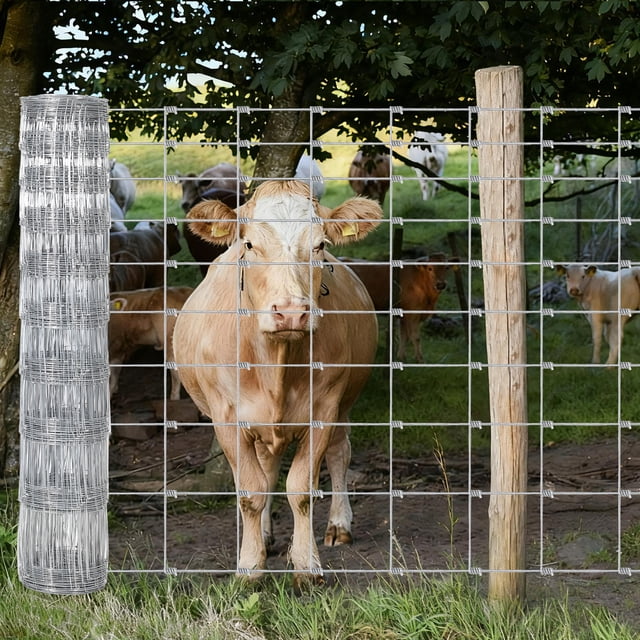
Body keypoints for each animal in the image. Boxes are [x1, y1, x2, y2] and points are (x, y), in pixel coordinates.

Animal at [173, 180, 382, 588]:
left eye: (319, 245)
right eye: (249, 244)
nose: (290, 312)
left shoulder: (325, 408)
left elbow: (301, 489)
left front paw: (306, 564)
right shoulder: (226, 417)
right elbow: (251, 489)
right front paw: (250, 565)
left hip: (346, 402)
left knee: (340, 454)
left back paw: (339, 524)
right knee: (267, 469)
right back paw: (266, 535)